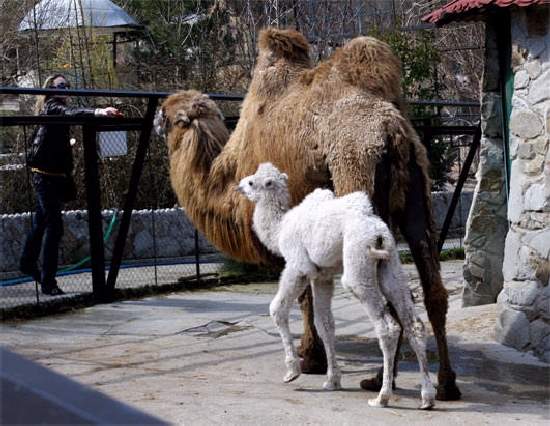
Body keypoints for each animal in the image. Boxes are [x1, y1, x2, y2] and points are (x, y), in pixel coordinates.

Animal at [239, 162, 438, 410]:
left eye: (251, 182)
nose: (239, 186)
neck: (280, 229)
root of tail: (378, 233)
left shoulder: (298, 266)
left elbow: (277, 308)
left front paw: (292, 372)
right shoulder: (321, 276)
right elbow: (325, 323)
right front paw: (332, 381)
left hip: (358, 263)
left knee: (387, 327)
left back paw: (382, 397)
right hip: (391, 263)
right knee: (414, 323)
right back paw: (427, 398)